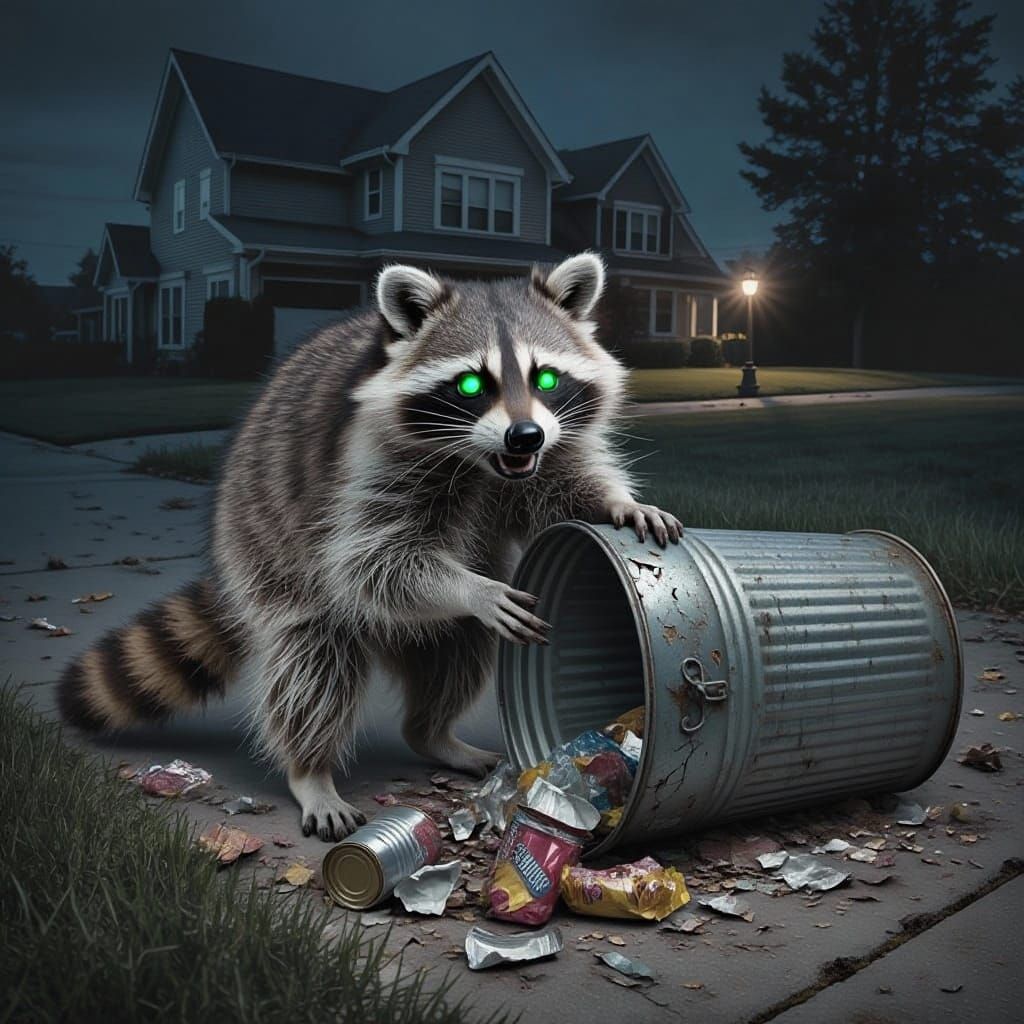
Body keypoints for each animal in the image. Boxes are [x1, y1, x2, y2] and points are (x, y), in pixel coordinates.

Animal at [58, 252, 682, 841]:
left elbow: (563, 489)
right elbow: (370, 562)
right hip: (263, 547)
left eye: (547, 379)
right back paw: (310, 768)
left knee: (460, 648)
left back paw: (431, 732)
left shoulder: (550, 447)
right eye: (471, 385)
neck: (483, 462)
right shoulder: (368, 459)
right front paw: (473, 588)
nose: (524, 436)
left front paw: (617, 503)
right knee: (313, 656)